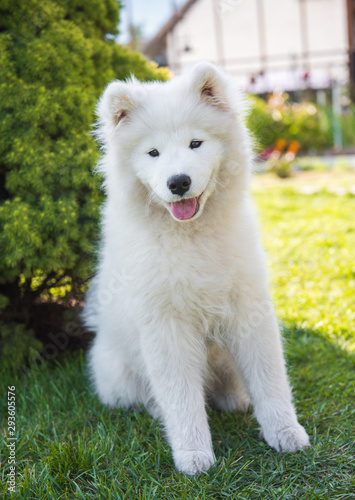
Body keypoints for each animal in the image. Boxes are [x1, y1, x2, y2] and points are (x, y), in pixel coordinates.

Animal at [83, 62, 308, 476]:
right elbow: (181, 397)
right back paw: (157, 409)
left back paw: (234, 398)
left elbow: (270, 379)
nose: (178, 182)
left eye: (195, 144)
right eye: (153, 152)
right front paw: (193, 455)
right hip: (119, 371)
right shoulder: (167, 327)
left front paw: (286, 432)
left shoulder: (247, 309)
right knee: (146, 397)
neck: (192, 236)